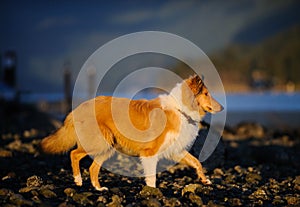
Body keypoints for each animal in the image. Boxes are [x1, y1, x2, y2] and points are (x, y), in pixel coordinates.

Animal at [41, 75, 223, 191]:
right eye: (206, 94)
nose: (222, 107)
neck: (181, 109)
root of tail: (76, 109)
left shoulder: (175, 150)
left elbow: (196, 162)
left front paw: (205, 179)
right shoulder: (150, 153)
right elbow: (151, 177)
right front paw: (152, 192)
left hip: (108, 146)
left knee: (93, 168)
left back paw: (99, 188)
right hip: (99, 143)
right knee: (74, 154)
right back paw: (78, 181)